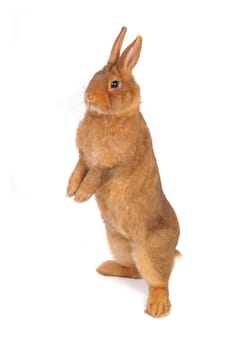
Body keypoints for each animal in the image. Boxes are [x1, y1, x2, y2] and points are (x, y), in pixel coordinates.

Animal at [66, 26, 179, 318]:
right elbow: (78, 169)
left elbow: (94, 177)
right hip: (118, 242)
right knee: (133, 270)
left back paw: (158, 308)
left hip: (150, 252)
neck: (109, 117)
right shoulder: (84, 158)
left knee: (158, 280)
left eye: (114, 84)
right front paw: (69, 190)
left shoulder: (111, 165)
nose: (88, 97)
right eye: (96, 74)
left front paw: (80, 196)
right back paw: (106, 267)